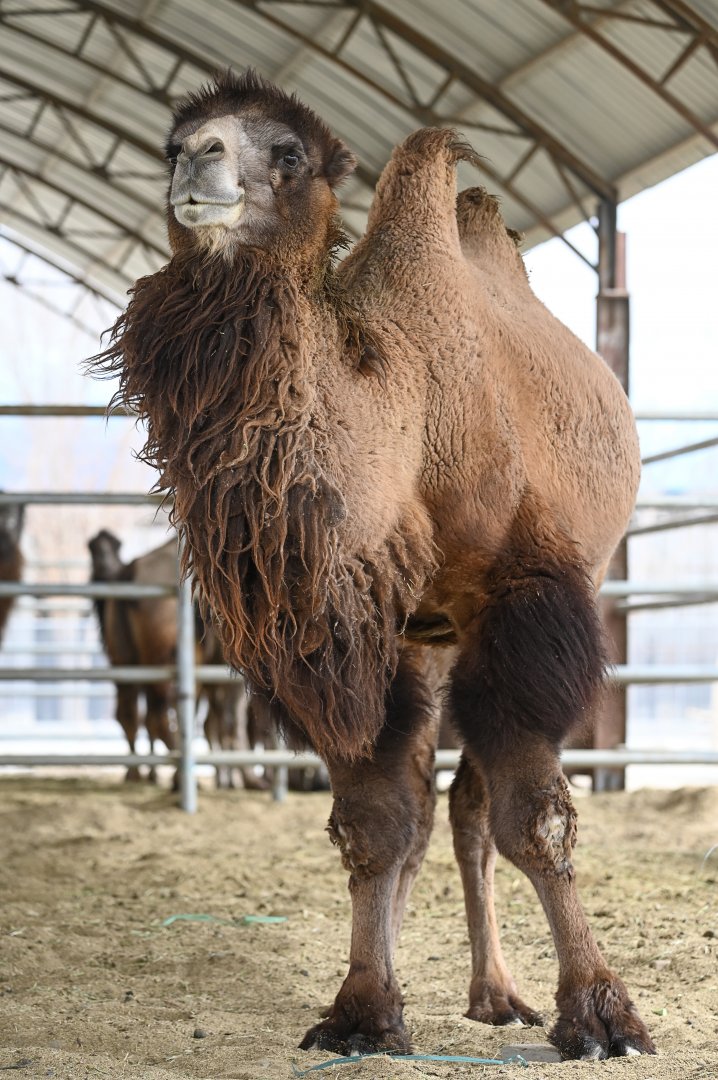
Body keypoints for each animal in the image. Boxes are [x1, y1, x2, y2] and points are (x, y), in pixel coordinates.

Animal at [91, 70, 654, 1061]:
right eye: (171, 144)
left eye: (288, 152)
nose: (197, 159)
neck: (408, 421)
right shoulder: (350, 627)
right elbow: (374, 823)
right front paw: (362, 1008)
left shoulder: (523, 598)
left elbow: (536, 818)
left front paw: (601, 1013)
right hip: (429, 634)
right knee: (434, 807)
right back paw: (470, 986)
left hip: (491, 616)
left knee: (475, 808)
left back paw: (499, 994)